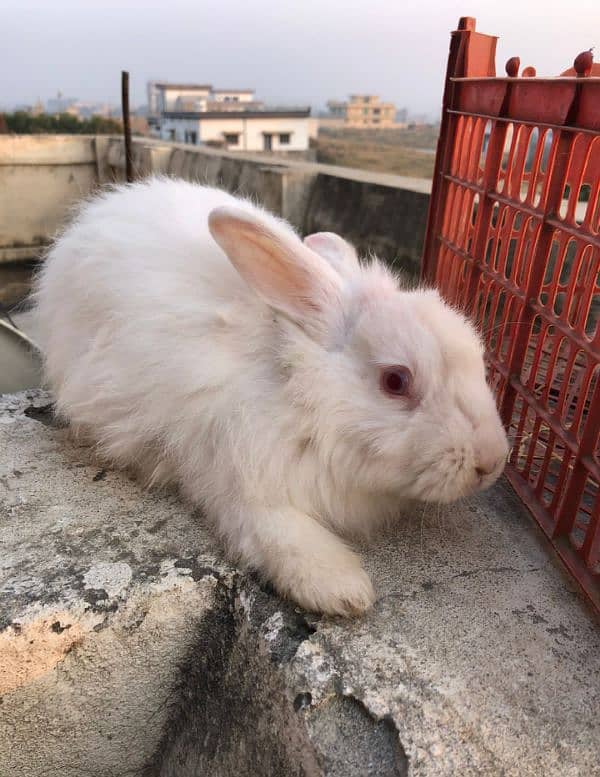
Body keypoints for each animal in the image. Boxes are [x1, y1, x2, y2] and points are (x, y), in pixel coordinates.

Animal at [35, 179, 508, 616]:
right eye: (396, 381)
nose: (493, 461)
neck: (298, 391)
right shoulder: (233, 473)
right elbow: (272, 531)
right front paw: (343, 590)